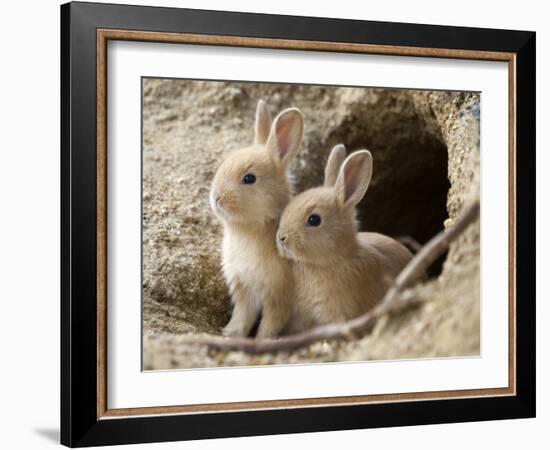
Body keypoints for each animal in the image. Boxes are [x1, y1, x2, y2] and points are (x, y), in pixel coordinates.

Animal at [211, 99, 306, 338]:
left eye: (249, 178)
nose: (216, 197)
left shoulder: (278, 296)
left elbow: (269, 324)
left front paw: (261, 340)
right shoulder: (243, 288)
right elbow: (242, 317)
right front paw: (229, 334)